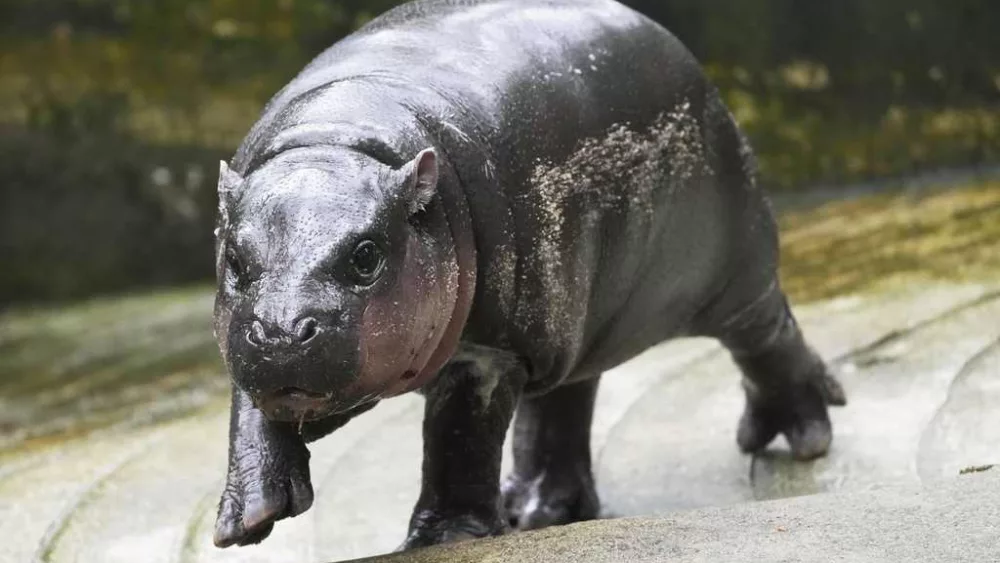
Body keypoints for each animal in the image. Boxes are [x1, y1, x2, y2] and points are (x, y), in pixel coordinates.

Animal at [211, 0, 847, 551]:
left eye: (366, 254)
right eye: (235, 260)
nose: (282, 333)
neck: (337, 142)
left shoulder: (493, 350)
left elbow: (459, 439)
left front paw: (446, 539)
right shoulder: (246, 339)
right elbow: (250, 409)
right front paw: (249, 517)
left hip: (731, 272)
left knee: (766, 334)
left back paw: (802, 435)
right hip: (577, 318)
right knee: (564, 402)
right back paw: (538, 510)